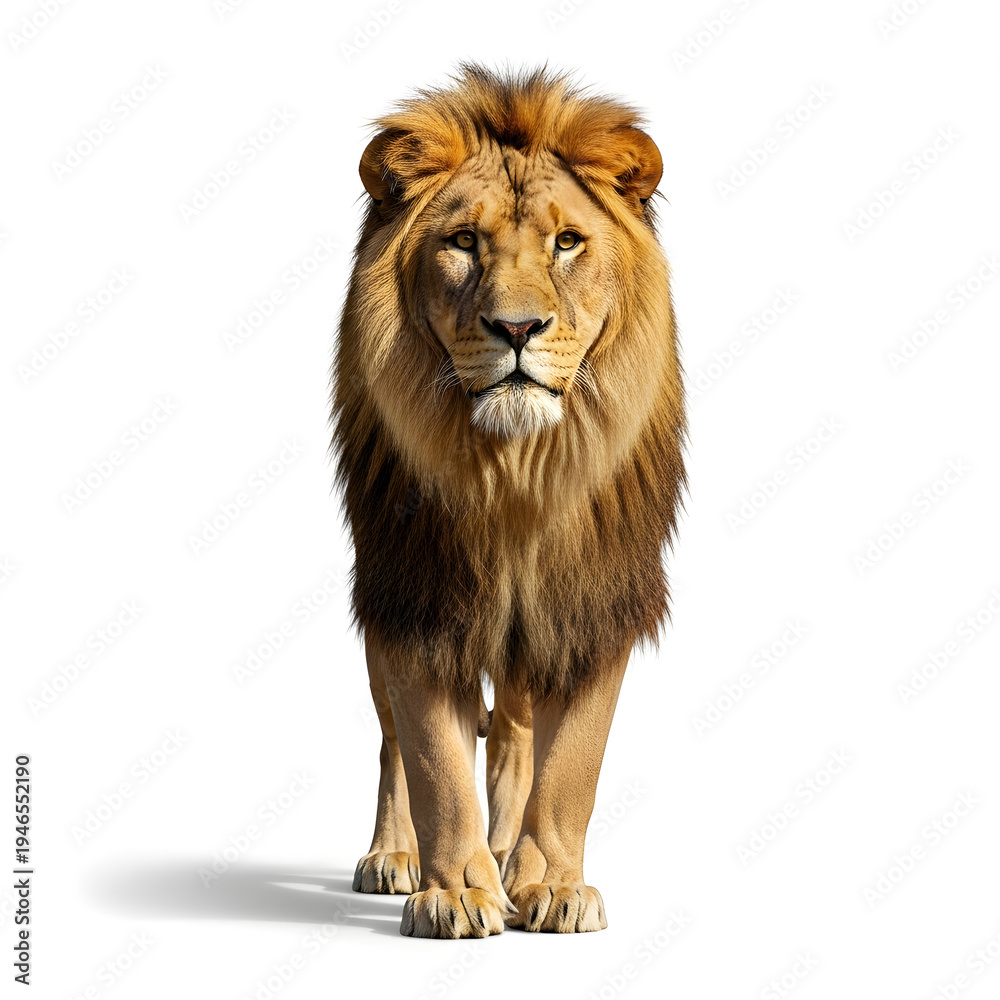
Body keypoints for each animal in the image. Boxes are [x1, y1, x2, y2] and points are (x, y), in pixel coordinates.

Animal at [331, 64, 685, 938]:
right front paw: (456, 892)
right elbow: (431, 753)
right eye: (462, 242)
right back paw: (397, 855)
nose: (517, 328)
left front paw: (551, 884)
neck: (517, 475)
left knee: (518, 731)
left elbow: (572, 763)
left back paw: (507, 853)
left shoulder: (592, 600)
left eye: (567, 242)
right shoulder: (415, 596)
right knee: (390, 739)